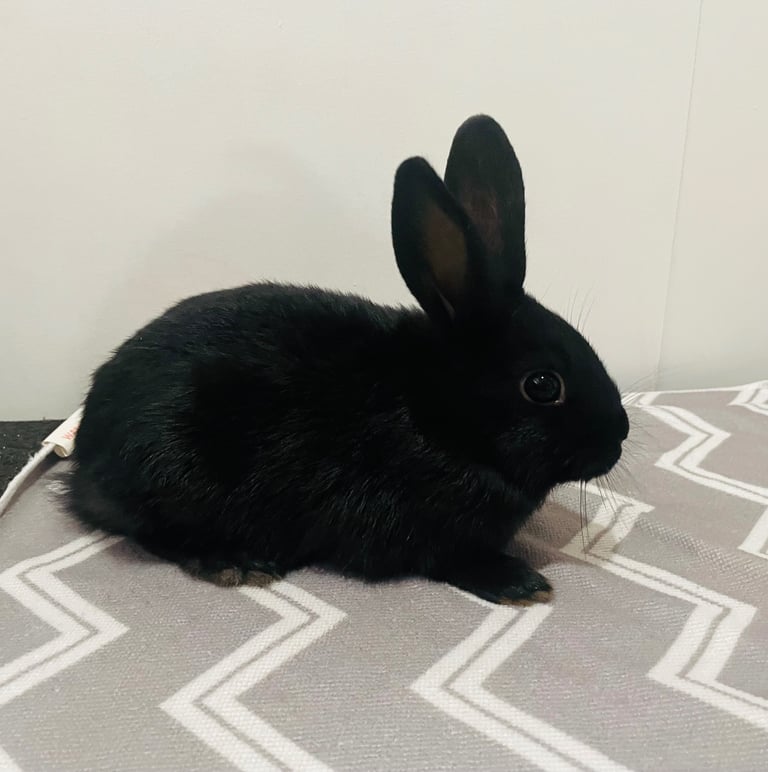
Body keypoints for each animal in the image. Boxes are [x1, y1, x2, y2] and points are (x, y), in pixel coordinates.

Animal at [66, 115, 629, 605]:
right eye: (542, 385)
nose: (619, 436)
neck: (434, 417)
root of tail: (85, 456)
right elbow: (449, 560)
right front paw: (520, 583)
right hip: (171, 474)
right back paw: (233, 561)